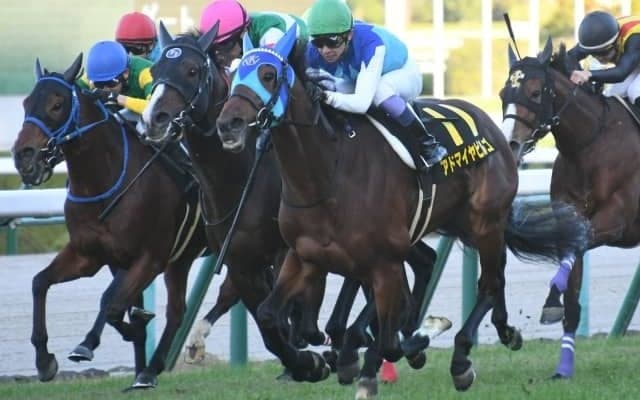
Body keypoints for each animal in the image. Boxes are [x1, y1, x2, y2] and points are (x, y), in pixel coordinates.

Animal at [12, 55, 209, 389]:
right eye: (26, 103)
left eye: (57, 104)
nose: (23, 156)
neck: (105, 182)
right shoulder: (89, 255)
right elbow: (40, 282)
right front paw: (44, 360)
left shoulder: (150, 258)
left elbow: (111, 301)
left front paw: (86, 344)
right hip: (181, 261)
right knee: (177, 311)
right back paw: (149, 369)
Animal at [142, 23, 445, 386]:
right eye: (155, 71)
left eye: (191, 70)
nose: (154, 119)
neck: (240, 177)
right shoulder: (241, 261)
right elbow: (268, 323)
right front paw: (305, 362)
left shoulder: (286, 250)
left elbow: (292, 313)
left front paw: (311, 356)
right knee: (419, 262)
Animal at [215, 27, 592, 395]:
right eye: (233, 75)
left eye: (268, 74)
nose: (228, 123)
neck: (327, 175)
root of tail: (495, 131)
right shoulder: (305, 257)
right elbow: (269, 316)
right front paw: (311, 364)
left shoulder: (383, 262)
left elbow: (389, 341)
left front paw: (420, 335)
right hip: (455, 223)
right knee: (472, 270)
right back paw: (502, 330)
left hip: (485, 221)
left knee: (489, 281)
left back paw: (461, 358)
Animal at [501, 38, 640, 379]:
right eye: (502, 94)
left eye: (535, 93)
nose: (510, 146)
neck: (591, 145)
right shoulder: (571, 216)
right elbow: (571, 299)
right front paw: (563, 368)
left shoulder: (616, 220)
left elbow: (575, 246)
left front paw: (552, 297)